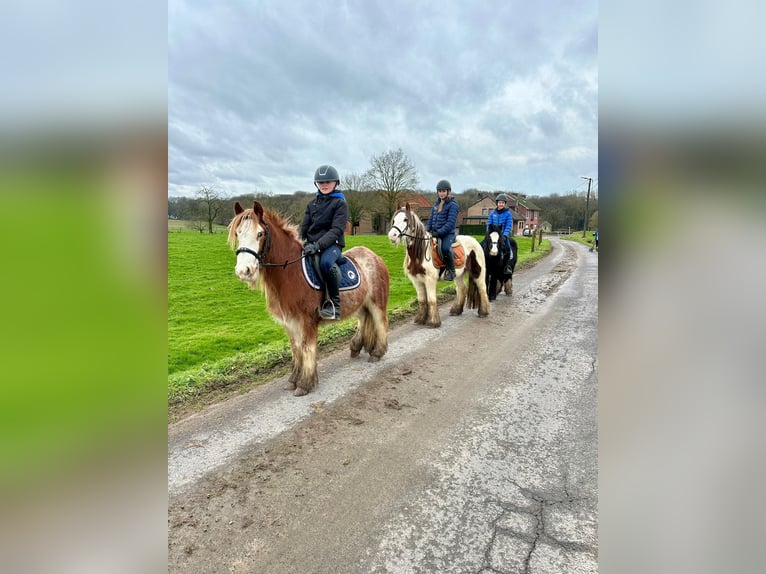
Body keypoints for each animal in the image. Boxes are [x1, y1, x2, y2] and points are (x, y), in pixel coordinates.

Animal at [228, 201, 390, 396]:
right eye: (238, 233)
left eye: (260, 233)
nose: (243, 271)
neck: (291, 273)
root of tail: (374, 256)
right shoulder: (290, 322)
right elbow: (296, 349)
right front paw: (293, 380)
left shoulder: (307, 321)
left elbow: (306, 348)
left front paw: (305, 384)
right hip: (360, 304)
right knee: (365, 321)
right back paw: (356, 347)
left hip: (377, 302)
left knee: (381, 322)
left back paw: (377, 353)